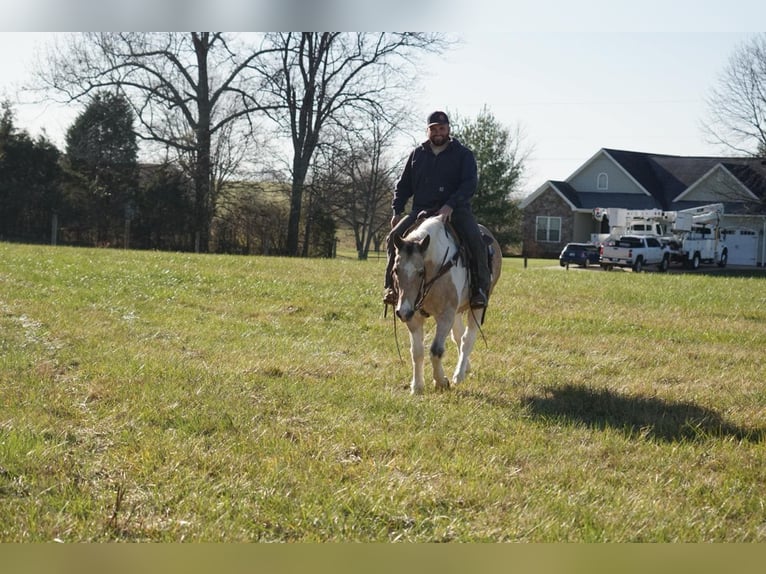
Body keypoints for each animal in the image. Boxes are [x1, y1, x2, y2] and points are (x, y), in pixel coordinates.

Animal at [392, 216, 502, 395]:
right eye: (395, 270)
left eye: (420, 272)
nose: (403, 312)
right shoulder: (414, 318)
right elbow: (417, 352)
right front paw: (417, 386)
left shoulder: (445, 315)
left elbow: (436, 351)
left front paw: (441, 381)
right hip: (456, 312)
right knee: (458, 336)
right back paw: (466, 367)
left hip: (477, 306)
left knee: (467, 338)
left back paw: (459, 375)